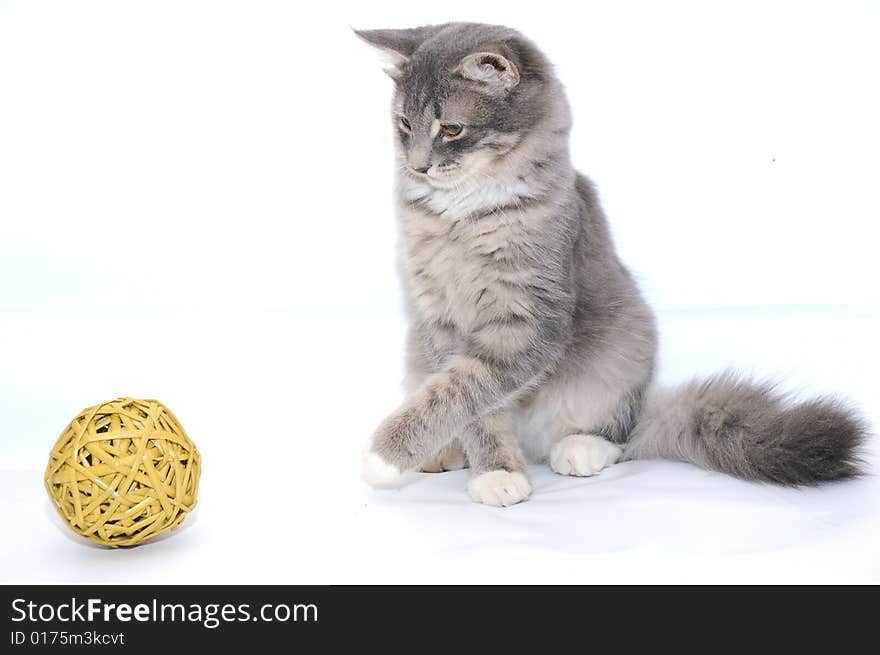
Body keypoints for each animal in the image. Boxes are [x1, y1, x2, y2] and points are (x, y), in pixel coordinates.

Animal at [356, 24, 868, 508]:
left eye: (452, 130)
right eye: (405, 124)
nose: (418, 166)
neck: (463, 216)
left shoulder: (528, 319)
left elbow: (461, 390)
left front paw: (386, 456)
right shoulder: (439, 319)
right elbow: (468, 404)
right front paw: (492, 468)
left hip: (627, 347)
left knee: (622, 436)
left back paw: (581, 448)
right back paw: (445, 454)